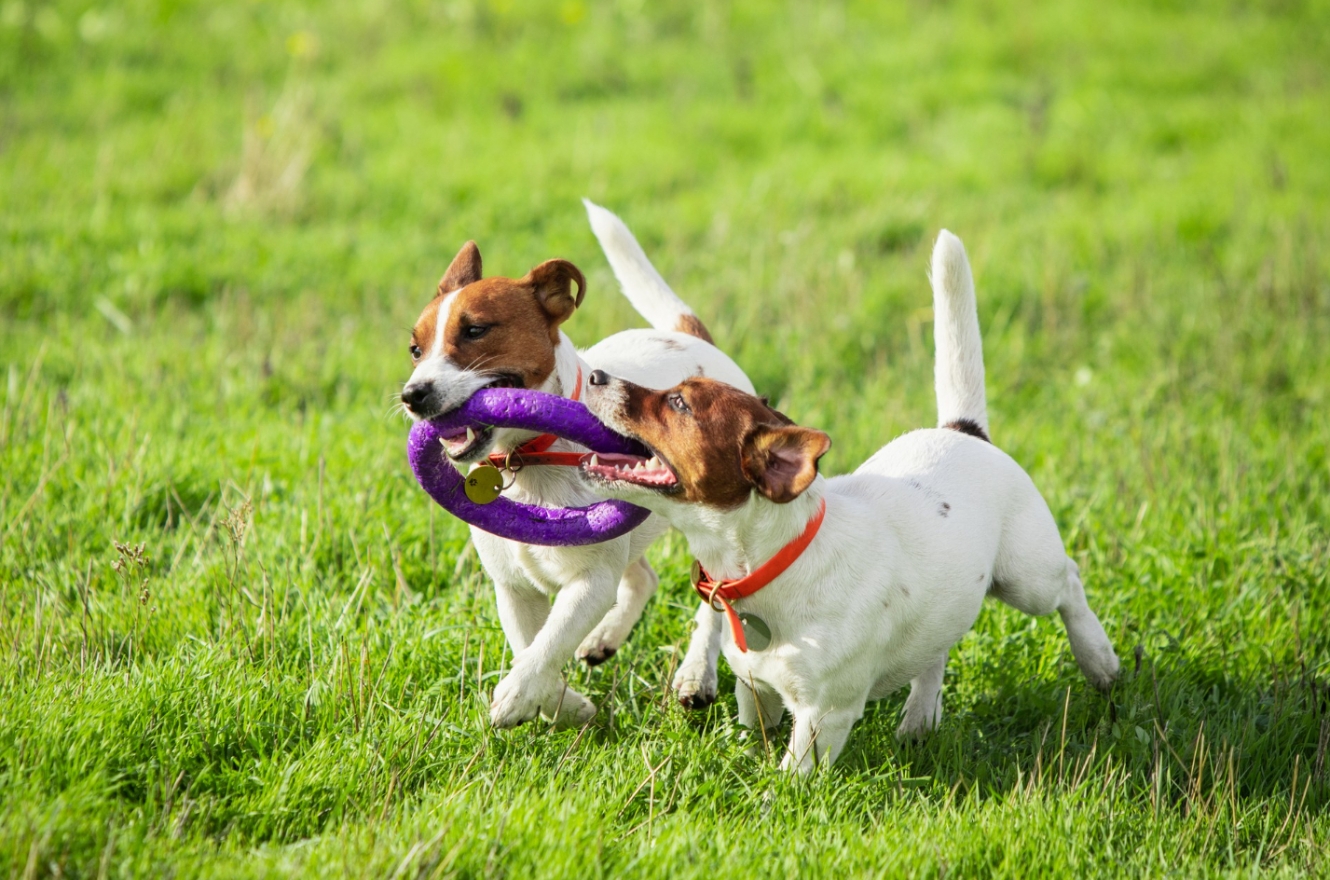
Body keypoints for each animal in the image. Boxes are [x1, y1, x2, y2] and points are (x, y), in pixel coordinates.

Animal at [399, 204, 755, 728]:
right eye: (415, 350)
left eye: (476, 330)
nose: (412, 395)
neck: (529, 458)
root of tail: (689, 338)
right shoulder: (513, 588)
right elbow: (530, 645)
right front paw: (565, 704)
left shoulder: (589, 582)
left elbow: (547, 645)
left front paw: (518, 695)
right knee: (642, 578)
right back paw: (605, 638)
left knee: (713, 600)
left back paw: (695, 675)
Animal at [577, 232, 1117, 770]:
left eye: (679, 403)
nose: (597, 375)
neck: (774, 563)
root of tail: (963, 431)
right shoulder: (757, 689)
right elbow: (757, 729)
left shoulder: (823, 716)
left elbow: (790, 774)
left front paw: (774, 788)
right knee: (937, 649)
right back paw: (920, 716)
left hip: (1027, 577)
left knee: (1068, 582)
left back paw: (1100, 660)